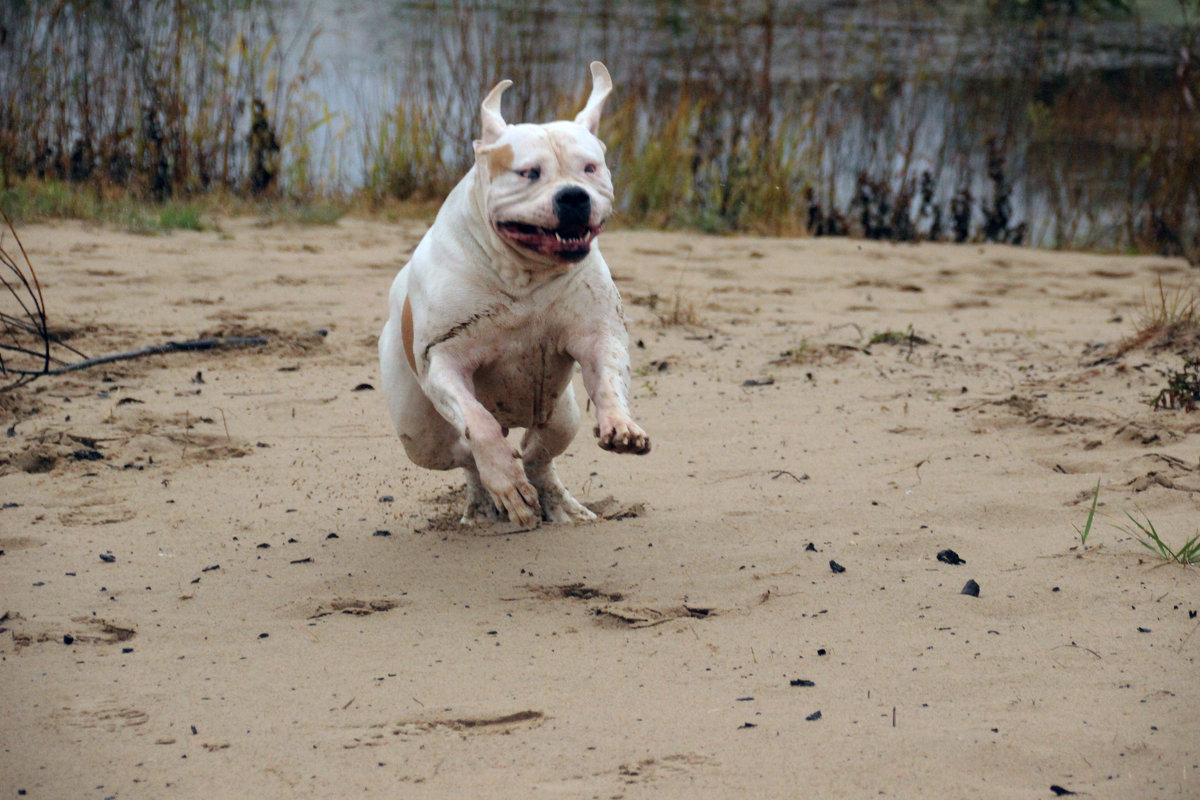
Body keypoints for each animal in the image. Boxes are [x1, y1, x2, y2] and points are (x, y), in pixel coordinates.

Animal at [379, 64, 652, 532]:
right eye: (529, 173)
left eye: (590, 168)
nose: (574, 196)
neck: (526, 273)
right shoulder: (445, 361)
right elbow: (478, 425)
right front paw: (505, 482)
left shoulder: (598, 336)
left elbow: (609, 377)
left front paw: (620, 424)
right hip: (420, 432)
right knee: (467, 454)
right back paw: (490, 499)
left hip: (561, 414)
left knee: (539, 455)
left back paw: (559, 506)